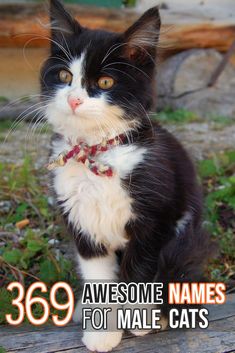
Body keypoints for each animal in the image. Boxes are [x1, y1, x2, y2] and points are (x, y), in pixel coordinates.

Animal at [40, 1, 209, 350]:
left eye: (105, 83)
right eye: (64, 76)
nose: (74, 99)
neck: (98, 153)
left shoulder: (156, 217)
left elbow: (139, 269)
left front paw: (138, 320)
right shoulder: (81, 219)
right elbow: (100, 275)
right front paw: (102, 331)